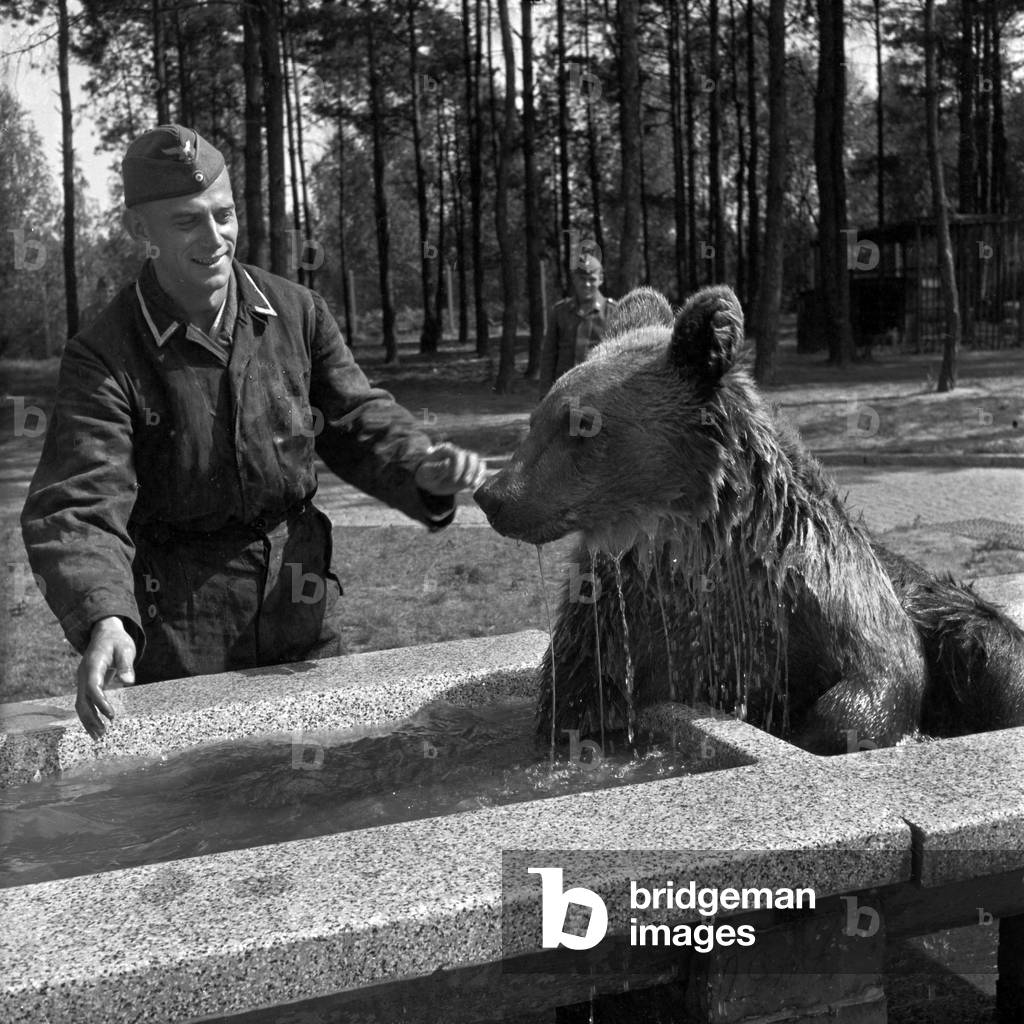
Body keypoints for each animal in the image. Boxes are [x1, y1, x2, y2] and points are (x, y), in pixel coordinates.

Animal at [474, 285, 1024, 755]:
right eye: (538, 417)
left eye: (582, 424)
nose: (492, 495)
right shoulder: (613, 616)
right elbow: (573, 704)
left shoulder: (825, 602)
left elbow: (873, 684)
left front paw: (816, 729)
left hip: (961, 619)